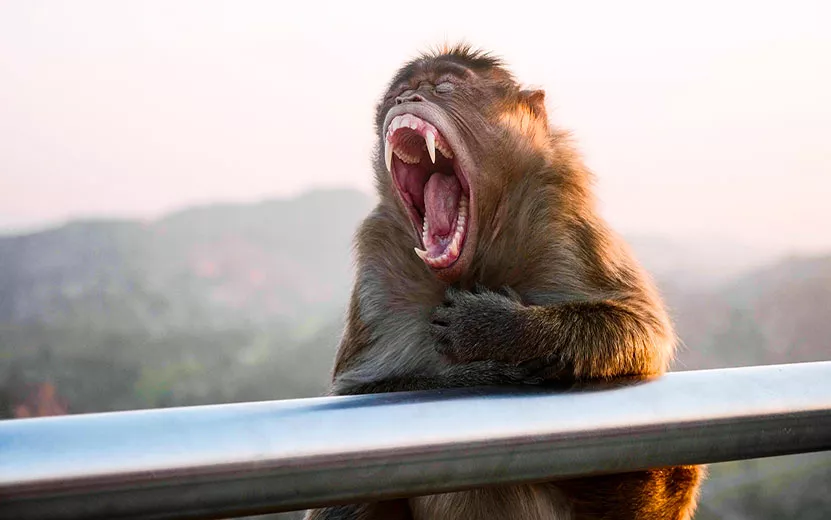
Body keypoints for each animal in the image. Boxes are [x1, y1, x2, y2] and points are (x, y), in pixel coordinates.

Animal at [304, 44, 703, 520]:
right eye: (399, 94)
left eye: (444, 88)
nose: (406, 101)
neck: (475, 262)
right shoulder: (379, 258)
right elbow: (358, 391)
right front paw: (487, 369)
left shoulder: (560, 216)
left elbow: (642, 330)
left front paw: (497, 329)